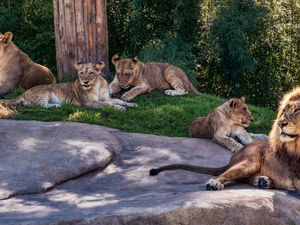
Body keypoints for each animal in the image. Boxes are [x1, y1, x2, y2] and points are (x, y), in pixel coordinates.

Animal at [0, 62, 137, 111]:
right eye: (81, 73)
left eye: (91, 73)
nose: (84, 82)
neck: (96, 85)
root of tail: (23, 93)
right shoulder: (89, 103)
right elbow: (106, 106)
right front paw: (119, 109)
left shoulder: (106, 98)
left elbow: (118, 100)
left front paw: (131, 104)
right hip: (44, 92)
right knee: (39, 106)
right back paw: (57, 105)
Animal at [150, 87, 300, 194]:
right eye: (244, 109)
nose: (252, 119)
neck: (231, 120)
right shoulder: (218, 135)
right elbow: (229, 141)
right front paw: (237, 145)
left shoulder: (241, 132)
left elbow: (247, 138)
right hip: (248, 163)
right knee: (227, 175)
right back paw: (215, 184)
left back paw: (263, 181)